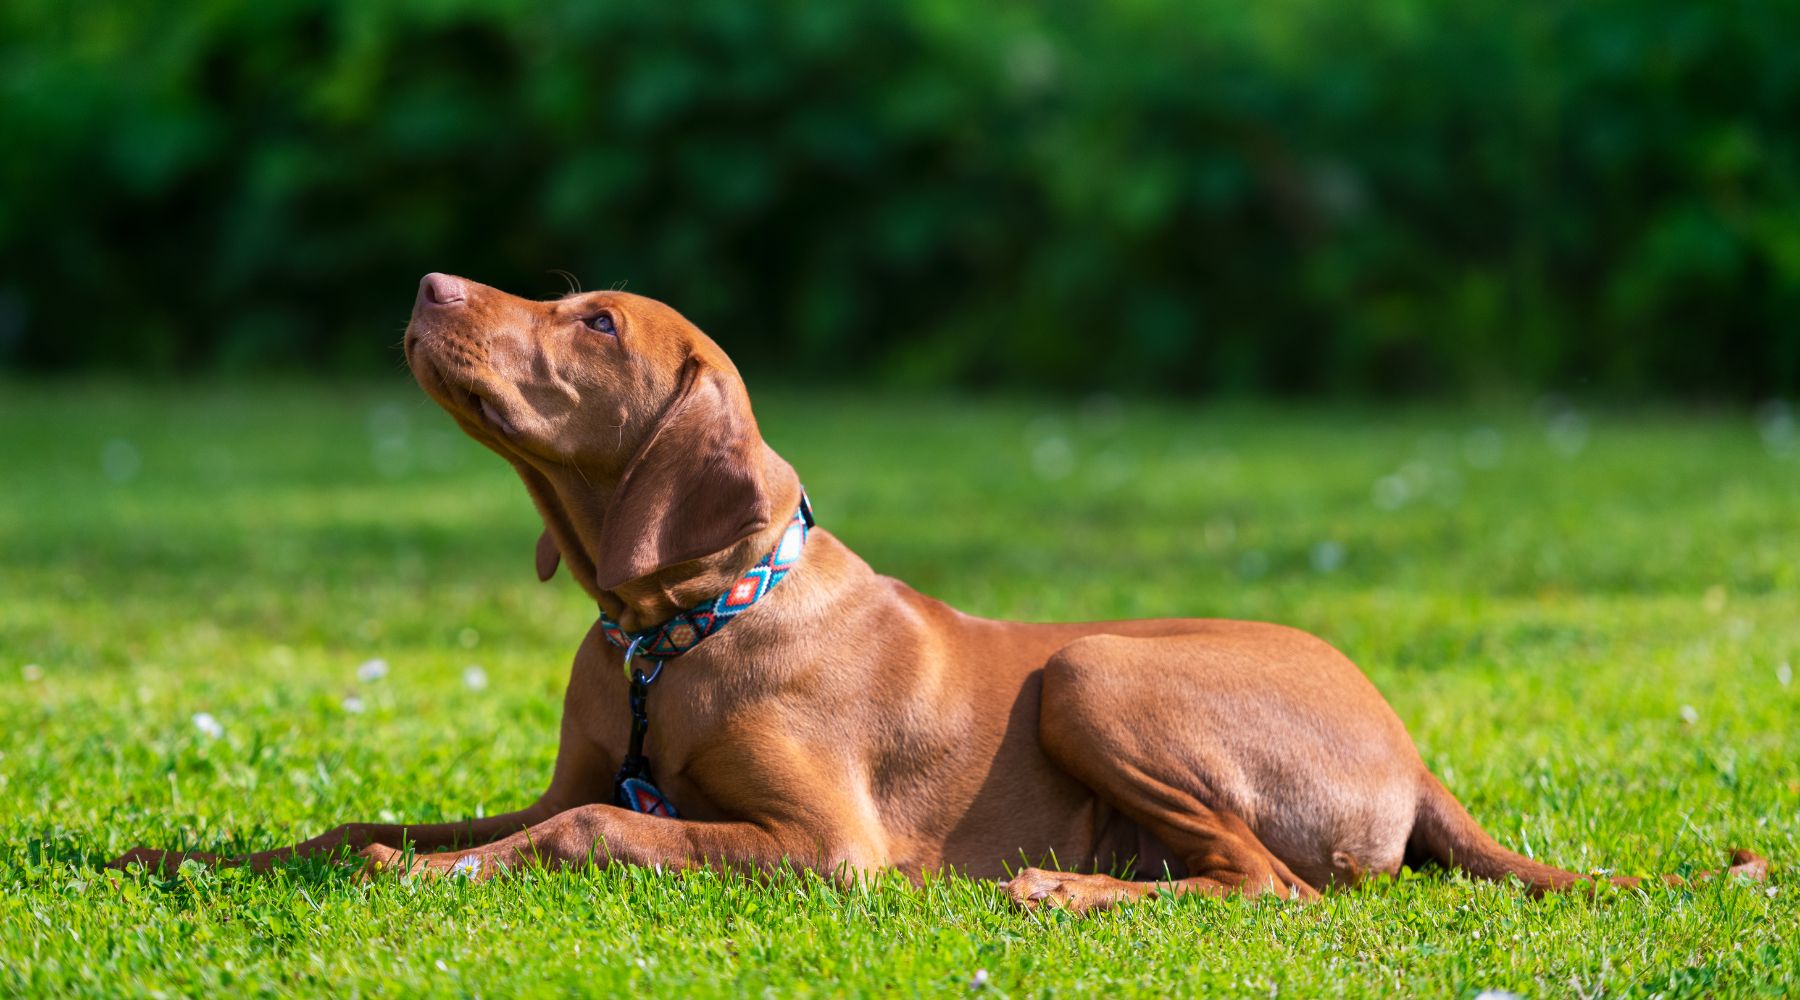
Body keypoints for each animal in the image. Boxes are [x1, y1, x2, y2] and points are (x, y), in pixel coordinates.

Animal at [116, 275, 1771, 913]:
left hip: (1098, 670)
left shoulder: (826, 847)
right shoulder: (585, 769)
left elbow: (585, 831)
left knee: (1273, 889)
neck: (680, 626)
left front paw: (435, 880)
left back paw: (1059, 892)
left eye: (592, 322)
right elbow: (371, 819)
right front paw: (179, 855)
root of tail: (1417, 755)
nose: (427, 290)